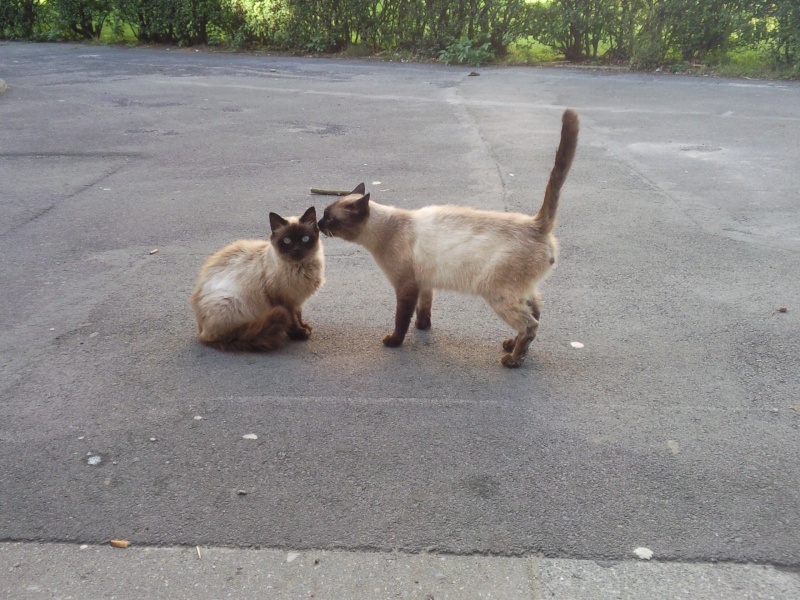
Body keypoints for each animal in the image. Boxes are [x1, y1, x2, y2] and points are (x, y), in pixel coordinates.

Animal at [189, 206, 324, 352]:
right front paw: (299, 333)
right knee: (228, 336)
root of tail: (201, 331)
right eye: (287, 240)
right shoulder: (283, 299)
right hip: (229, 301)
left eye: (305, 239)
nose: (297, 250)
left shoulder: (296, 299)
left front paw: (304, 327)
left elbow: (298, 315)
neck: (301, 269)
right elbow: (292, 319)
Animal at [318, 110, 580, 368]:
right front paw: (422, 328)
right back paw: (509, 344)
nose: (319, 225)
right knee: (536, 312)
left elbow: (401, 320)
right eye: (323, 215)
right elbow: (424, 311)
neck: (387, 229)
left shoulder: (406, 286)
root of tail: (536, 224)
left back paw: (513, 360)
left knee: (530, 325)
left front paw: (394, 342)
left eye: (329, 218)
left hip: (497, 293)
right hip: (522, 291)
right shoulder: (424, 284)